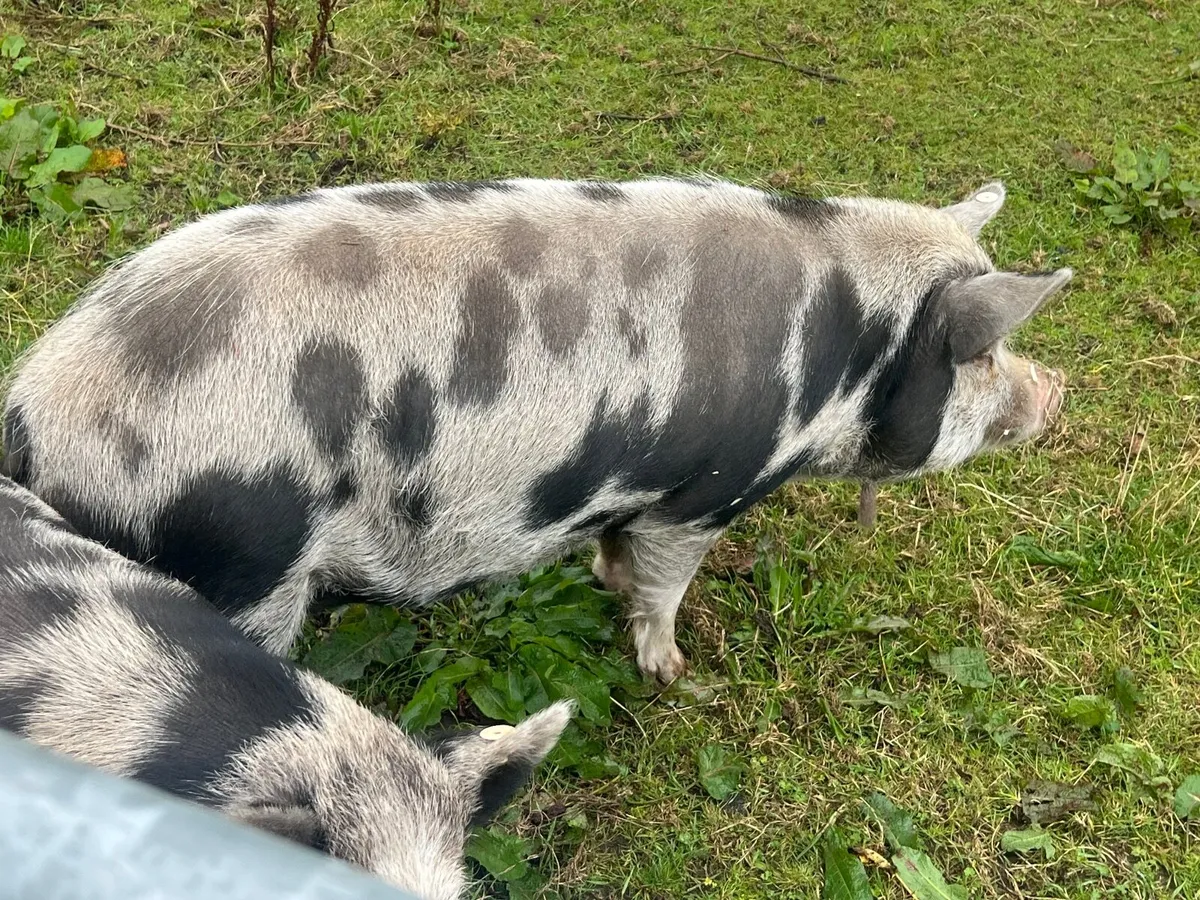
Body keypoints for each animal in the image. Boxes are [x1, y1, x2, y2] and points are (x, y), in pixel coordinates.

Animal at [1, 177, 1070, 683]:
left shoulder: (630, 485)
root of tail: (33, 417)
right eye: (982, 356)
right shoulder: (707, 492)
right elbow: (668, 586)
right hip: (243, 563)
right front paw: (674, 671)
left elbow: (617, 550)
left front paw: (607, 582)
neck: (844, 354)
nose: (1056, 391)